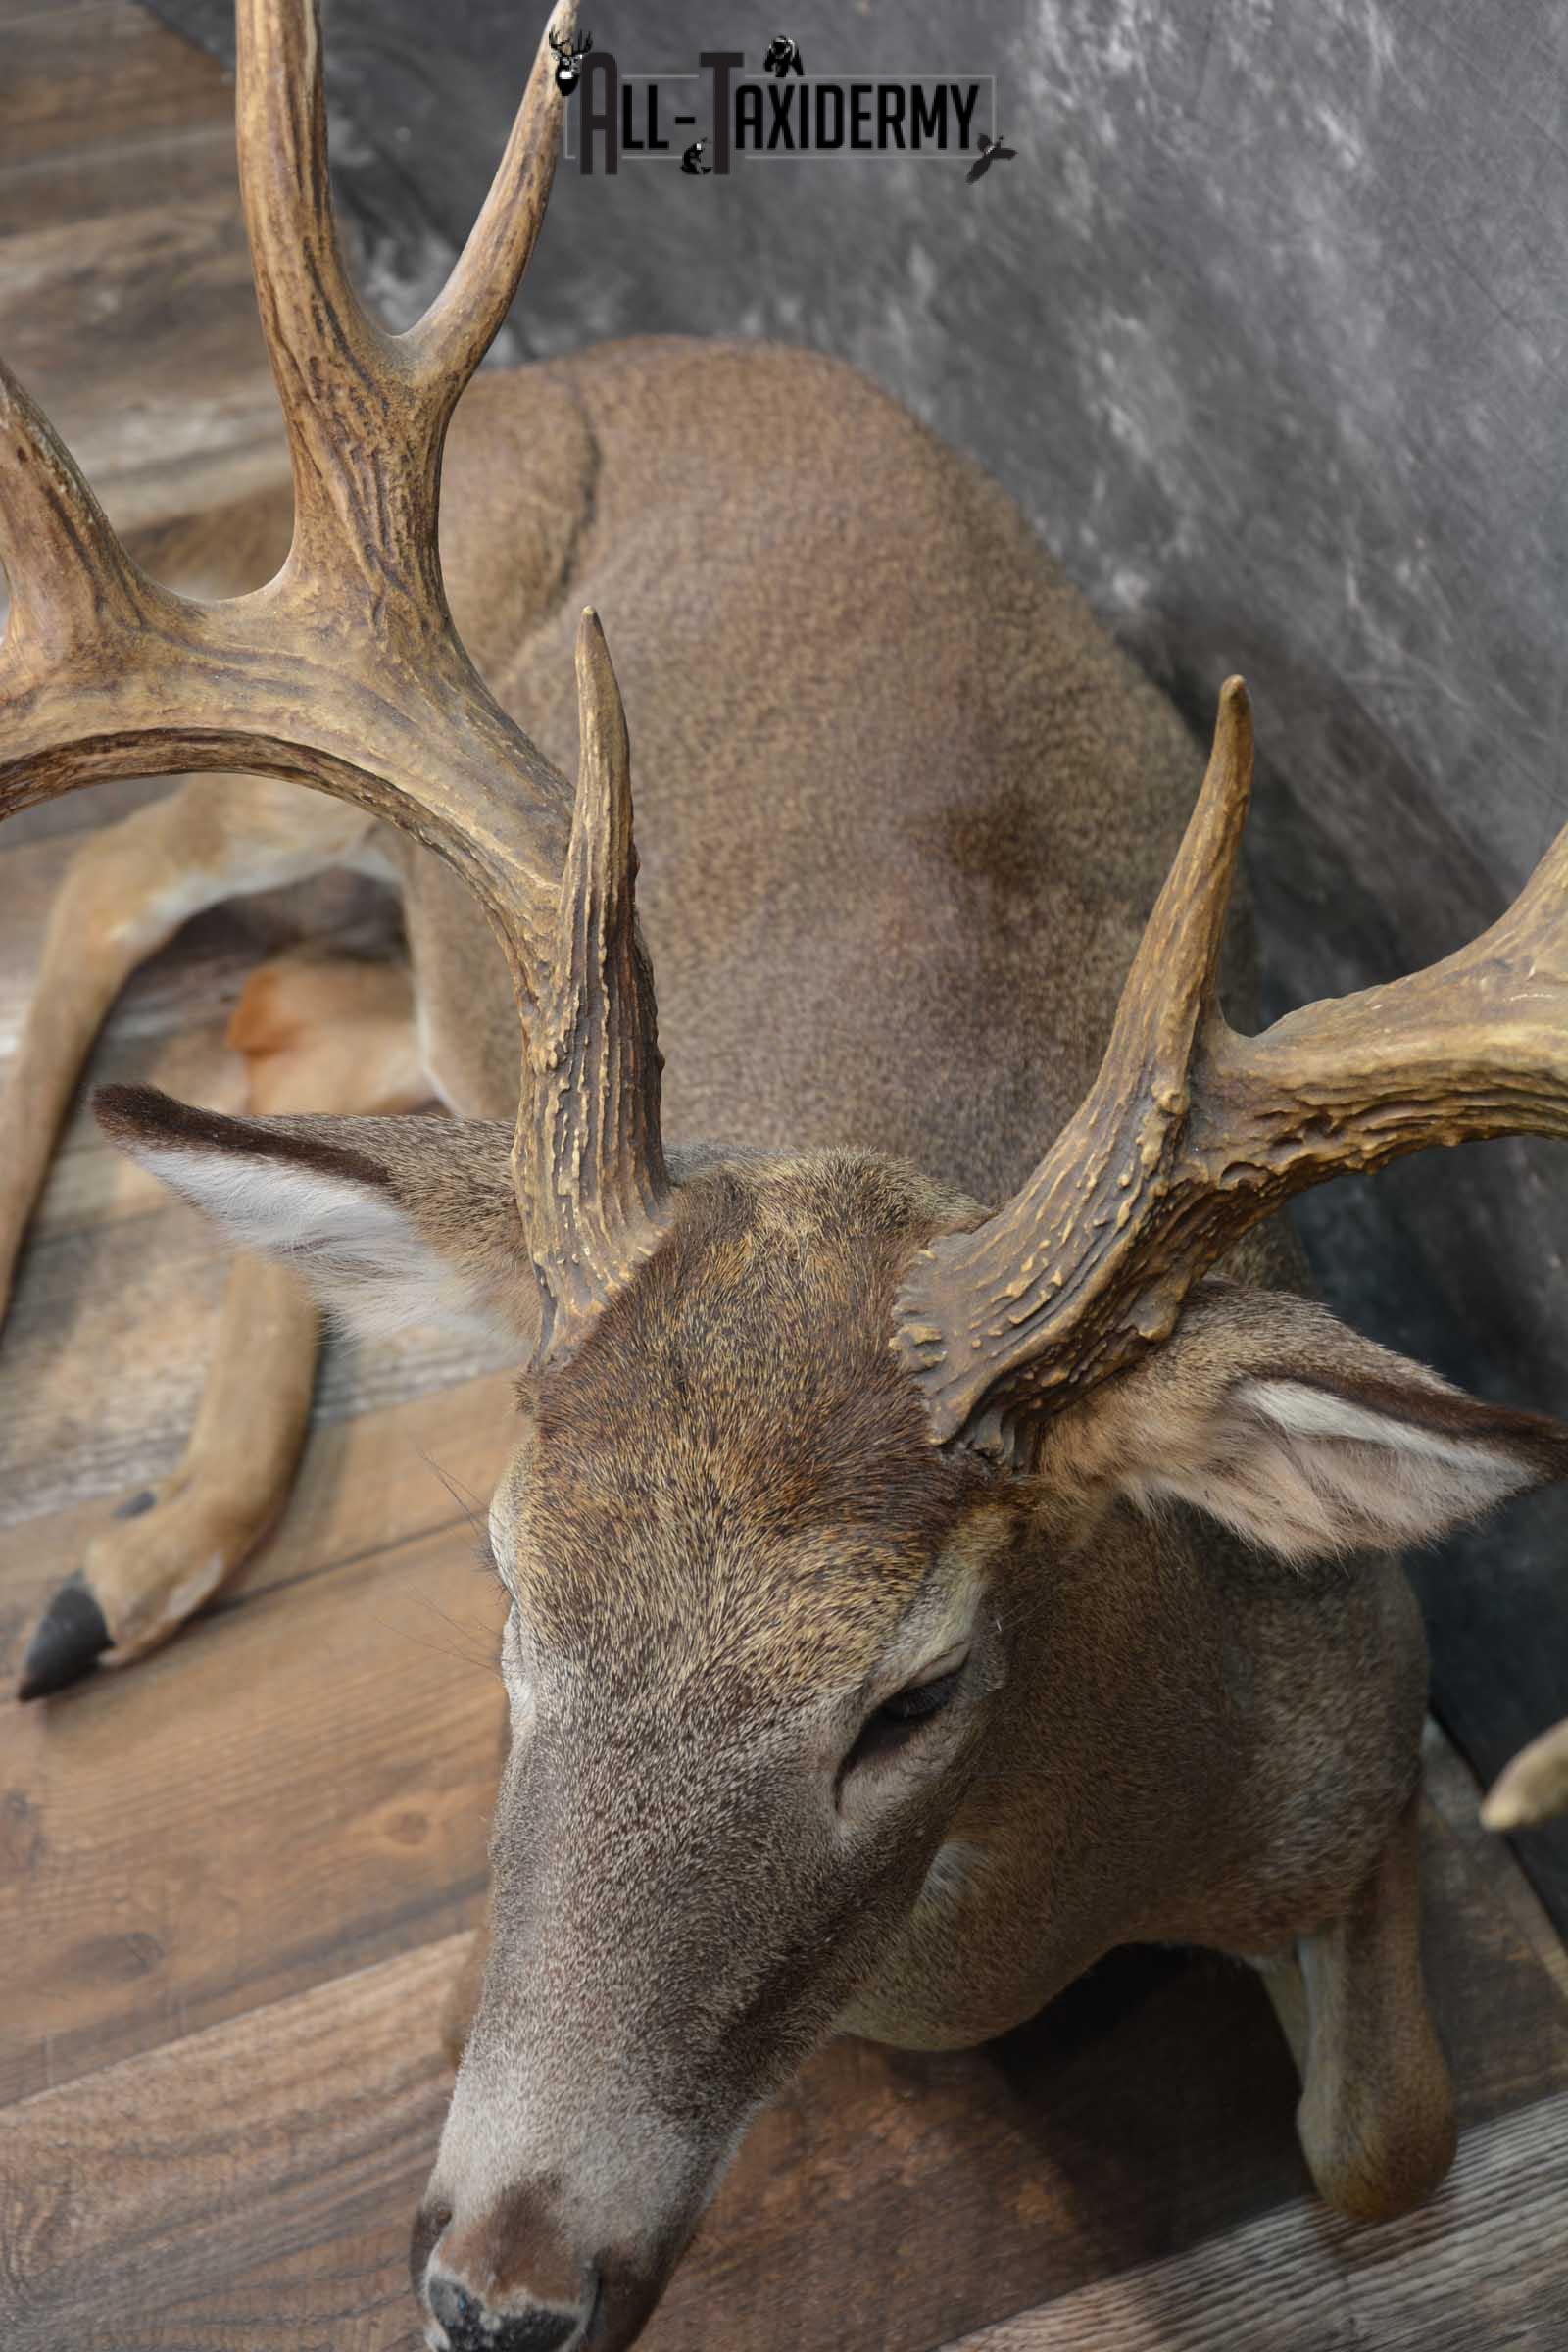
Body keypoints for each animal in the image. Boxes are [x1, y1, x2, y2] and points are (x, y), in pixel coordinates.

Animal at [4, 4, 1568, 2348]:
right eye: (503, 1588)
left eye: (910, 1690)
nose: (501, 2287)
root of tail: (603, 357)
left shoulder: (1358, 1748)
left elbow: (1378, 2145)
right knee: (128, 882)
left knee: (297, 1023)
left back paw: (129, 1561)